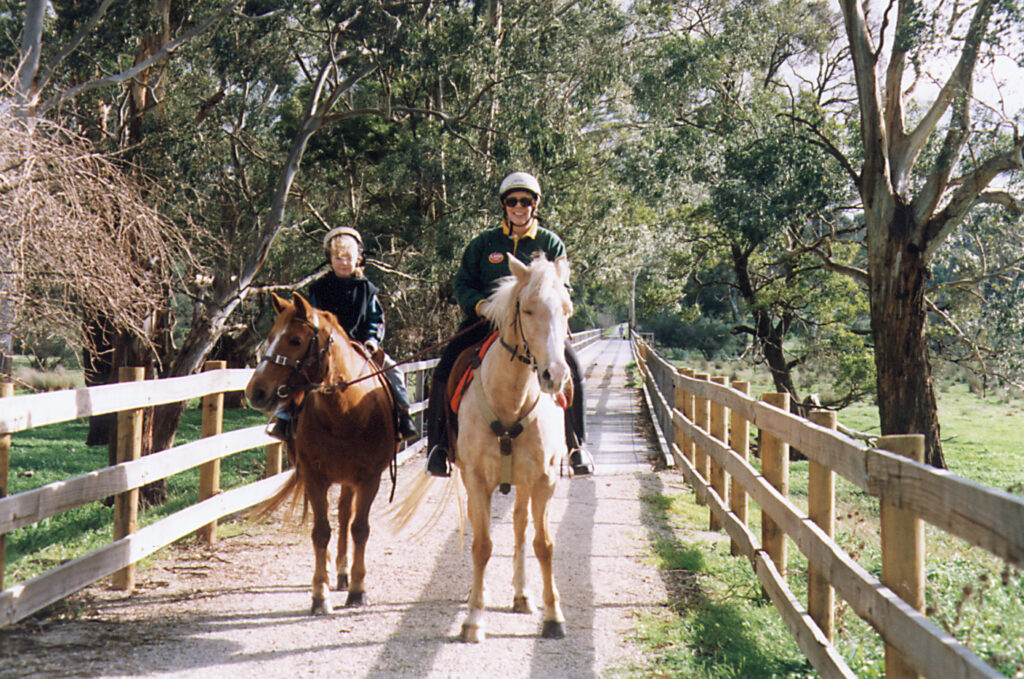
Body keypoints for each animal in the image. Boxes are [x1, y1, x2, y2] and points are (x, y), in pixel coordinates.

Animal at [245, 292, 396, 614]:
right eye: (271, 336)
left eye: (295, 340)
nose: (255, 392)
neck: (345, 411)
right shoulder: (315, 477)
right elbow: (320, 532)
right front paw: (319, 593)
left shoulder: (369, 478)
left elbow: (359, 529)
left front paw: (357, 589)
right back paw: (331, 570)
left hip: (350, 480)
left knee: (345, 516)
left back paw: (343, 571)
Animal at [452, 254, 574, 642]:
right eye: (529, 309)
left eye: (567, 309)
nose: (555, 375)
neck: (512, 399)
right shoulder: (476, 479)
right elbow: (482, 545)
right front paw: (474, 618)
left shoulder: (545, 480)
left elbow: (543, 545)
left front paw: (554, 615)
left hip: (525, 483)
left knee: (521, 527)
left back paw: (522, 594)